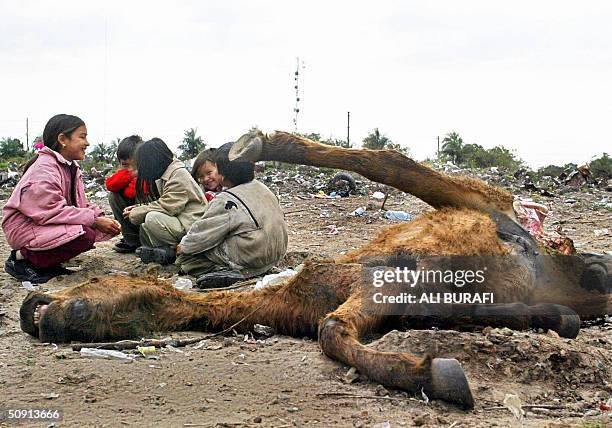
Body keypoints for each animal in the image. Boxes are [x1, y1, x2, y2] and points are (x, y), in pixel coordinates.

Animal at [19, 130, 612, 408]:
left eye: (90, 288)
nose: (37, 310)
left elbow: (334, 330)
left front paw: (440, 377)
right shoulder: (376, 299)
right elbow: (334, 331)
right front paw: (435, 369)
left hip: (487, 201)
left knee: (393, 163)